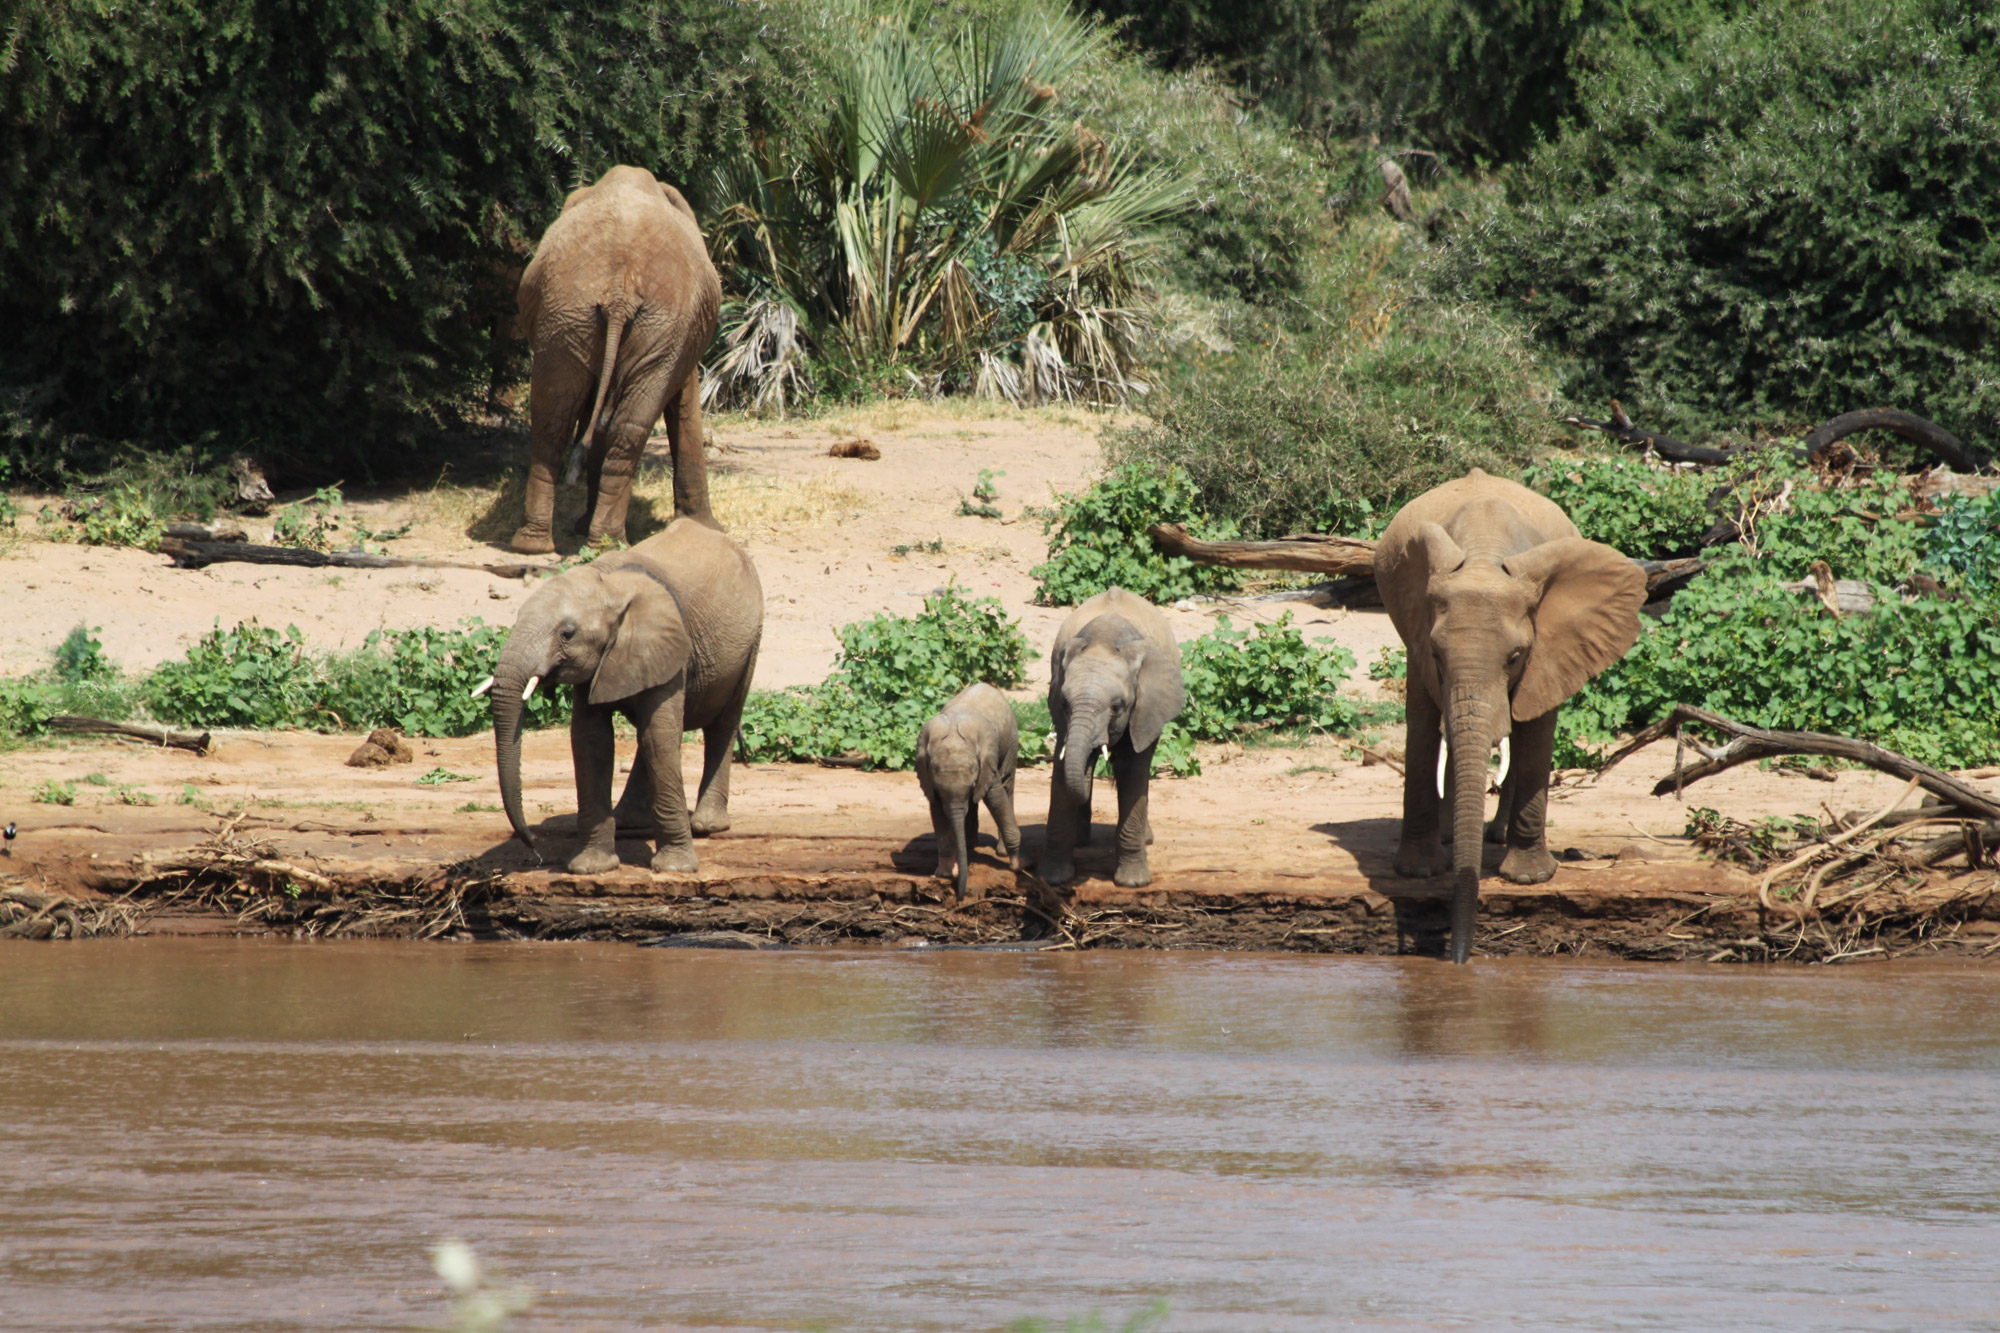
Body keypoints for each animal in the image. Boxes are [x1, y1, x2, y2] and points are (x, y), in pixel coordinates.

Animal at [486, 510, 764, 872]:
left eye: (567, 633)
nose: (533, 843)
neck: (609, 583)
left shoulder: (669, 647)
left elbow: (659, 737)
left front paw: (675, 870)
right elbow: (591, 741)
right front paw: (591, 868)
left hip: (751, 641)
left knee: (720, 724)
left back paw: (706, 825)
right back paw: (630, 823)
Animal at [512, 165, 724, 548]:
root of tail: (619, 290)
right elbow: (685, 400)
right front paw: (709, 530)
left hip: (568, 315)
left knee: (556, 418)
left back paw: (540, 544)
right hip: (641, 319)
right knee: (620, 424)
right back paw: (604, 541)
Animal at [916, 680, 1024, 896]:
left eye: (972, 785)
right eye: (939, 790)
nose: (960, 894)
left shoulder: (988, 758)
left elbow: (996, 797)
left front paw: (1017, 866)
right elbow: (937, 811)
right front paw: (945, 874)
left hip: (1011, 737)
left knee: (1007, 784)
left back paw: (999, 851)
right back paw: (970, 844)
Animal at [1040, 588, 1176, 888]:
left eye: (1117, 706)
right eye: (1064, 704)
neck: (1105, 637)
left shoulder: (1144, 707)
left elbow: (1133, 772)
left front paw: (1134, 883)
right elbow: (1061, 770)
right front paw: (1055, 879)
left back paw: (1146, 839)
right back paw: (1080, 841)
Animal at [1376, 464, 1640, 956]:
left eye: (1515, 657)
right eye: (1438, 656)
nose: (1459, 958)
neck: (1483, 555)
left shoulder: (1552, 644)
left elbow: (1535, 734)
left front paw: (1529, 878)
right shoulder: (1418, 633)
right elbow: (1421, 726)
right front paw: (1419, 873)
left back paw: (1495, 836)